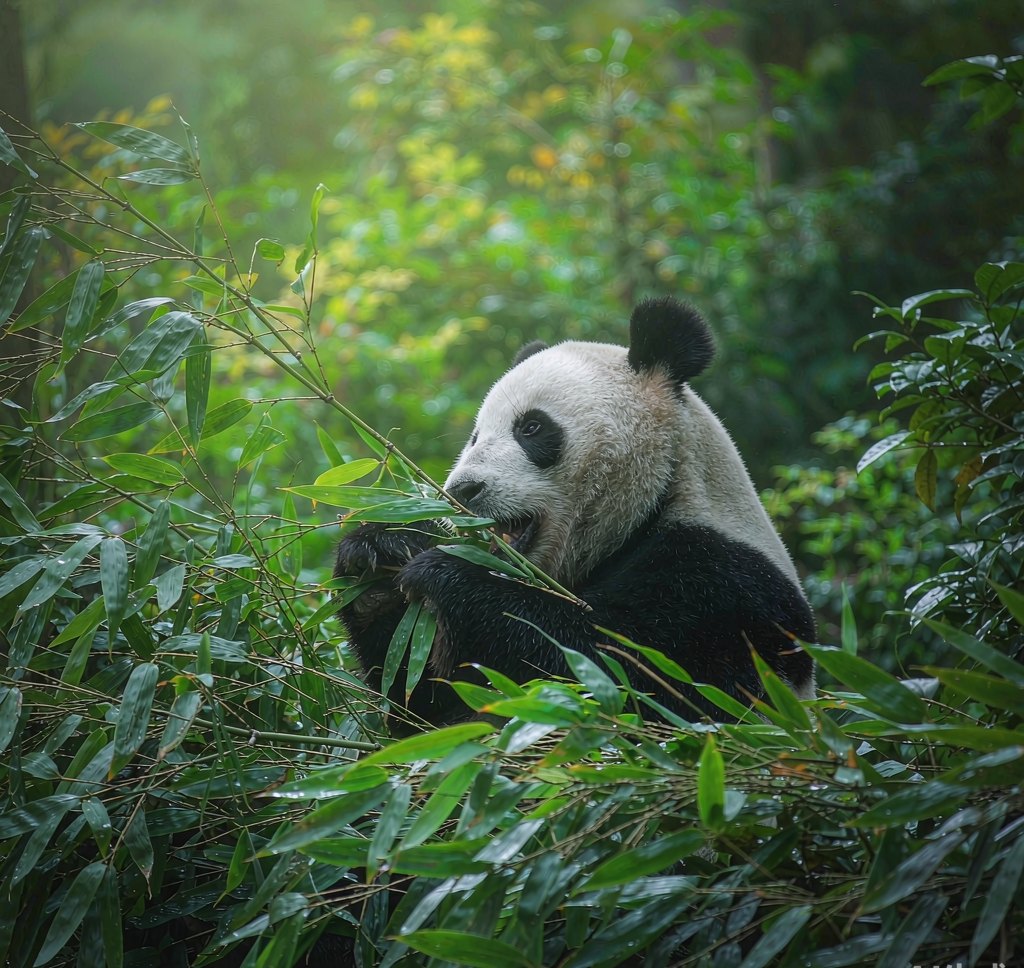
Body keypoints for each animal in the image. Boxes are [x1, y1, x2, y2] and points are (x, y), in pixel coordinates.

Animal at [334, 297, 815, 726]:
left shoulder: (724, 593)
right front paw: (380, 555)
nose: (463, 489)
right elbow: (423, 699)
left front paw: (447, 573)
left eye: (531, 427)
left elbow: (629, 677)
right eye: (475, 436)